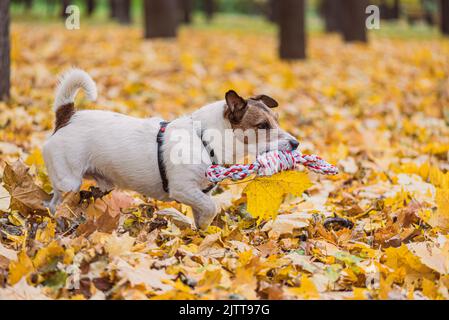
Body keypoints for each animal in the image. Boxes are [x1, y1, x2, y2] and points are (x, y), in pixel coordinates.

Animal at [43, 69, 300, 229]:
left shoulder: (199, 193)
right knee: (55, 205)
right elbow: (211, 207)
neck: (204, 140)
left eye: (277, 120)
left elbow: (203, 212)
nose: (296, 143)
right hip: (68, 182)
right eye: (262, 126)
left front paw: (200, 232)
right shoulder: (183, 189)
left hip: (102, 185)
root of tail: (67, 116)